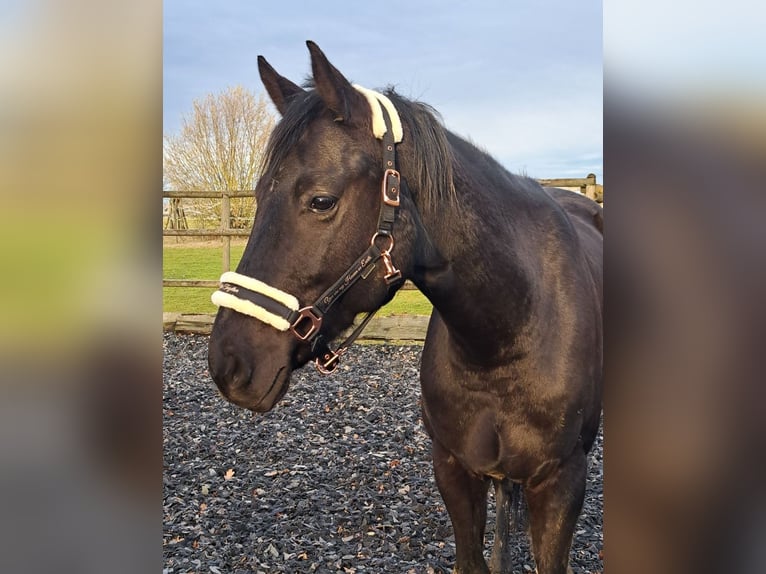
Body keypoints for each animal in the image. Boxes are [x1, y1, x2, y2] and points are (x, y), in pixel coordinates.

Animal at [207, 41, 603, 574]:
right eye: (256, 194)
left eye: (321, 201)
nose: (228, 362)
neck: (509, 335)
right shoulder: (454, 470)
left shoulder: (562, 484)